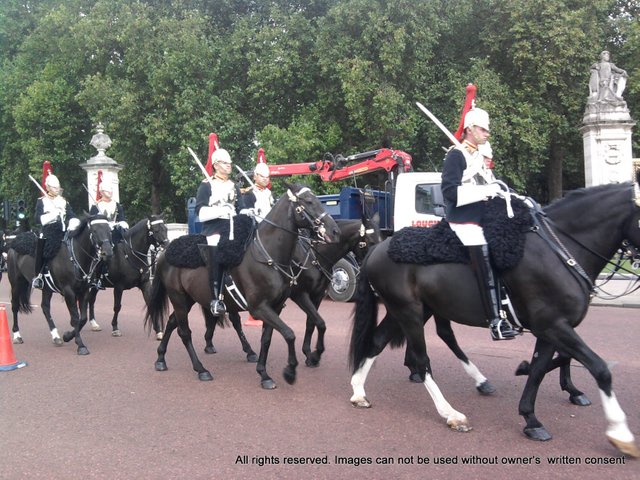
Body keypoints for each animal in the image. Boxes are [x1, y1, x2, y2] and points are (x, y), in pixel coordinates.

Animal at [7, 216, 114, 354]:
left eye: (109, 230)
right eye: (94, 231)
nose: (108, 253)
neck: (75, 256)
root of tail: (15, 241)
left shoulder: (83, 291)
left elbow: (83, 318)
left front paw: (67, 336)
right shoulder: (69, 292)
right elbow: (75, 318)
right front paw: (80, 345)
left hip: (46, 288)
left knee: (45, 307)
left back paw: (56, 336)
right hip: (16, 283)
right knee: (15, 306)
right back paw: (17, 335)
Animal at [147, 183, 342, 386]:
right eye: (309, 201)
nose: (335, 231)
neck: (268, 255)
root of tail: (165, 252)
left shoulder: (277, 305)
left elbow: (270, 337)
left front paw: (265, 373)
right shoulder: (259, 308)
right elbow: (289, 334)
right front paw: (290, 371)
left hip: (188, 299)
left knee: (171, 322)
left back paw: (160, 359)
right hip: (177, 297)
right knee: (184, 332)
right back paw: (201, 369)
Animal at [201, 215, 380, 368]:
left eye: (381, 239)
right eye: (370, 241)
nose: (374, 267)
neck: (314, 255)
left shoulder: (317, 295)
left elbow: (313, 322)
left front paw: (310, 354)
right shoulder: (299, 294)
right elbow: (314, 322)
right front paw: (311, 354)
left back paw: (211, 344)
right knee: (233, 320)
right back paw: (246, 350)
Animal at [348, 178, 640, 456]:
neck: (559, 250)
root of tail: (377, 248)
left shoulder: (552, 328)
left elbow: (541, 368)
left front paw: (531, 417)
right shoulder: (553, 325)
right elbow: (599, 368)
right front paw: (620, 434)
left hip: (414, 310)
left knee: (379, 340)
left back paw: (359, 391)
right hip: (409, 311)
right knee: (422, 359)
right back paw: (452, 414)